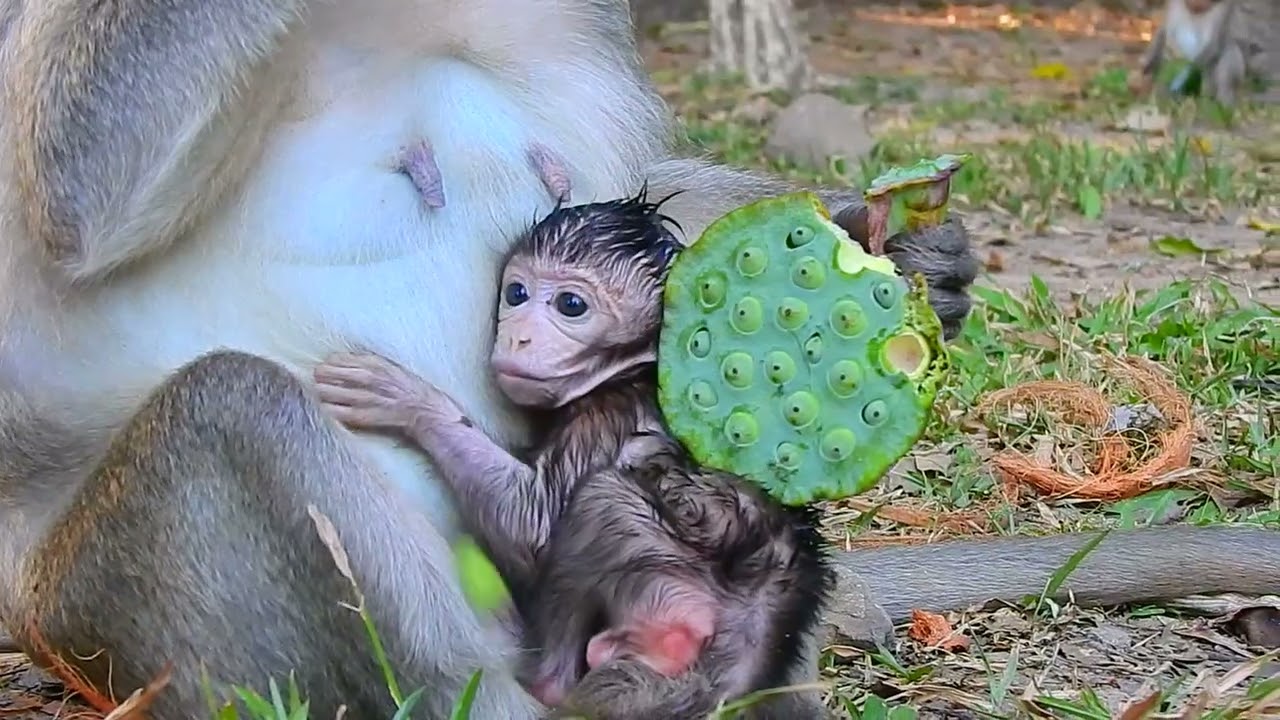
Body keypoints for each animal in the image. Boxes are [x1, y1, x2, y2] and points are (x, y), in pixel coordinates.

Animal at [311, 194, 833, 717]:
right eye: (516, 294)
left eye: (571, 305)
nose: (518, 335)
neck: (635, 367)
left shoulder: (605, 417)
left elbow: (535, 530)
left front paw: (411, 401)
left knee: (600, 497)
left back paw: (549, 680)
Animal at [1135, 0, 1279, 105]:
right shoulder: (1174, 4)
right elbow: (1166, 33)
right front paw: (1149, 64)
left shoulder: (1223, 9)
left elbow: (1214, 44)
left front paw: (1179, 77)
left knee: (1229, 48)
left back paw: (1221, 99)